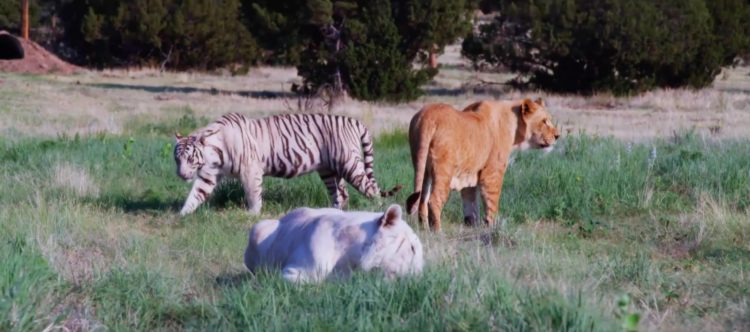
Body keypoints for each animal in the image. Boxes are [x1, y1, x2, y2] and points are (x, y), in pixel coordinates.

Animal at [174, 113, 402, 215]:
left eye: (190, 159)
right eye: (178, 159)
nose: (181, 175)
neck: (215, 152)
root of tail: (354, 121)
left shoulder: (250, 171)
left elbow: (253, 194)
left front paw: (253, 215)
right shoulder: (208, 175)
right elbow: (196, 194)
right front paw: (182, 215)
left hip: (350, 165)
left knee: (372, 189)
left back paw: (379, 213)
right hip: (329, 171)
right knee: (341, 194)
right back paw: (333, 213)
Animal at [408, 98, 560, 231]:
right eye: (544, 121)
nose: (558, 136)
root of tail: (427, 115)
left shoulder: (469, 173)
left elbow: (470, 204)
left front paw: (472, 226)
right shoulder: (493, 172)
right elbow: (492, 202)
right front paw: (492, 226)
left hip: (422, 167)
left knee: (422, 200)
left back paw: (425, 230)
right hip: (443, 170)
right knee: (433, 200)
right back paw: (438, 232)